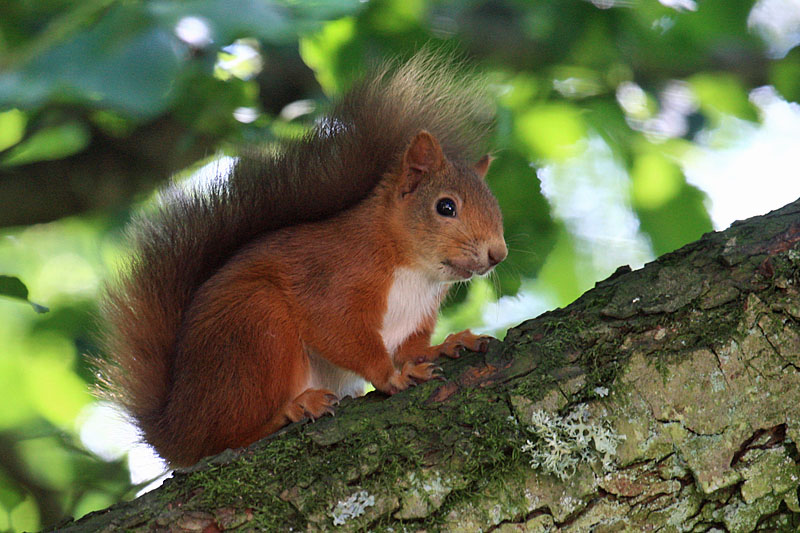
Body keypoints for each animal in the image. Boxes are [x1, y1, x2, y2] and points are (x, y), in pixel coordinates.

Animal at [98, 51, 506, 466]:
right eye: (445, 207)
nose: (498, 254)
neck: (414, 270)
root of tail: (175, 431)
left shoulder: (415, 318)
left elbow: (412, 349)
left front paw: (446, 345)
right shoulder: (332, 282)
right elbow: (342, 334)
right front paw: (393, 376)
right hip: (256, 330)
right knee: (228, 437)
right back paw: (292, 409)